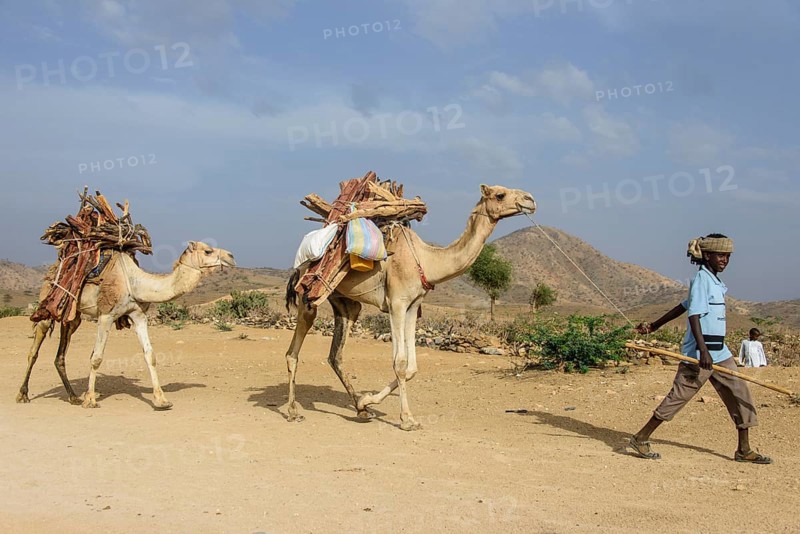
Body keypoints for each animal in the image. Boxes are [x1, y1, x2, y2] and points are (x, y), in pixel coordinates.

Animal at [16, 241, 235, 409]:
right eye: (208, 251)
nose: (231, 256)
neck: (135, 282)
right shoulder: (106, 315)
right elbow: (96, 358)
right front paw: (91, 400)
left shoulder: (138, 315)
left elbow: (150, 355)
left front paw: (162, 400)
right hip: (47, 302)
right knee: (34, 348)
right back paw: (23, 394)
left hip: (73, 314)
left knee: (61, 353)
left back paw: (73, 397)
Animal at [284, 184, 536, 430]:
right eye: (500, 194)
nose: (530, 200)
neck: (426, 261)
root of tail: (299, 265)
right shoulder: (397, 303)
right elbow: (400, 363)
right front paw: (407, 419)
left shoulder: (413, 305)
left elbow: (412, 367)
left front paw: (368, 400)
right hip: (309, 296)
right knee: (292, 353)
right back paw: (293, 412)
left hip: (343, 301)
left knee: (336, 353)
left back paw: (361, 409)